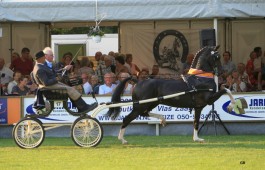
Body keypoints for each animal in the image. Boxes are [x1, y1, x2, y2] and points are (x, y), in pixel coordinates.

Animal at [106, 45, 236, 143]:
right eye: (216, 57)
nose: (222, 72)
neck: (200, 78)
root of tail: (138, 81)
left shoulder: (198, 107)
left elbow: (196, 122)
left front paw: (197, 139)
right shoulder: (209, 100)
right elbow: (226, 90)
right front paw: (231, 106)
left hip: (151, 103)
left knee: (144, 113)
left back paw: (163, 120)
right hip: (140, 105)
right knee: (127, 119)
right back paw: (122, 139)